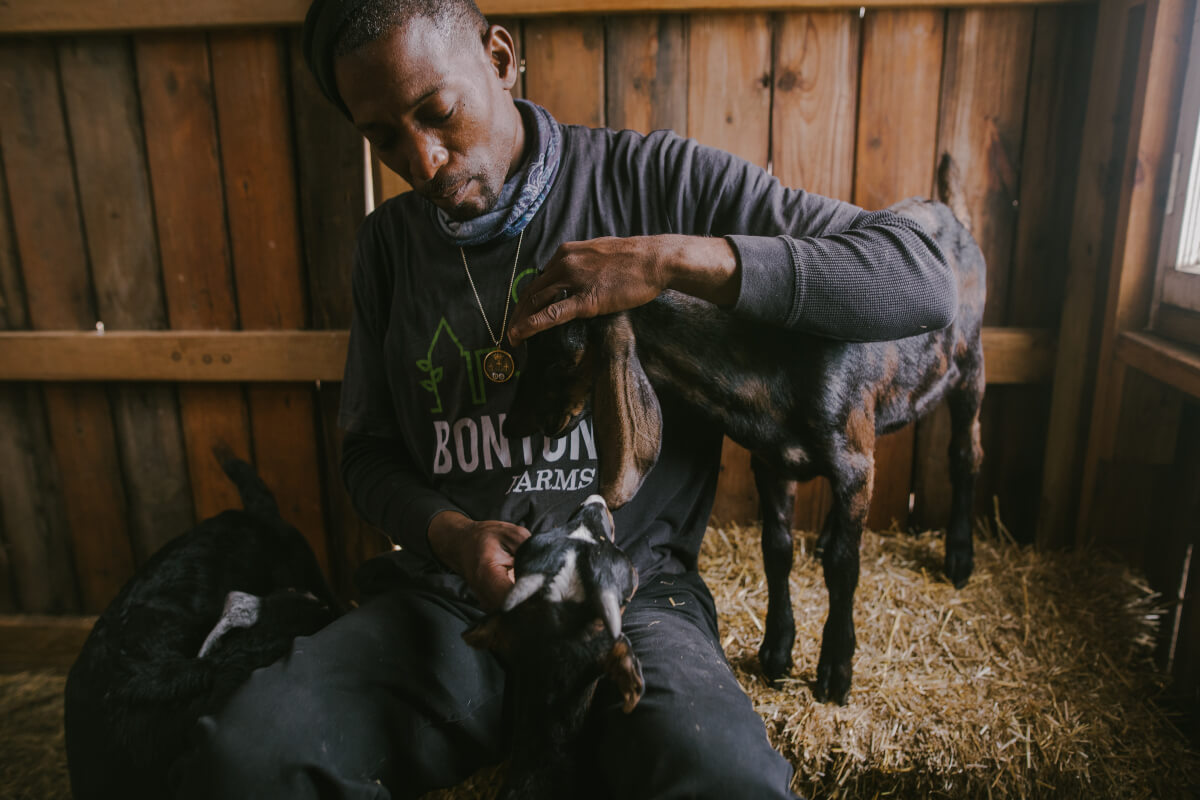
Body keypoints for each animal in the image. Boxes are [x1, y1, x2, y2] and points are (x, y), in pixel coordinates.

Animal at [506, 158, 984, 705]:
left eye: (559, 356)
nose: (512, 424)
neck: (770, 358)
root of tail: (946, 208)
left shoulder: (852, 460)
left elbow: (845, 566)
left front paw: (835, 670)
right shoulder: (773, 461)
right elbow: (777, 550)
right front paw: (776, 652)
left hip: (970, 367)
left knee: (965, 452)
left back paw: (960, 556)